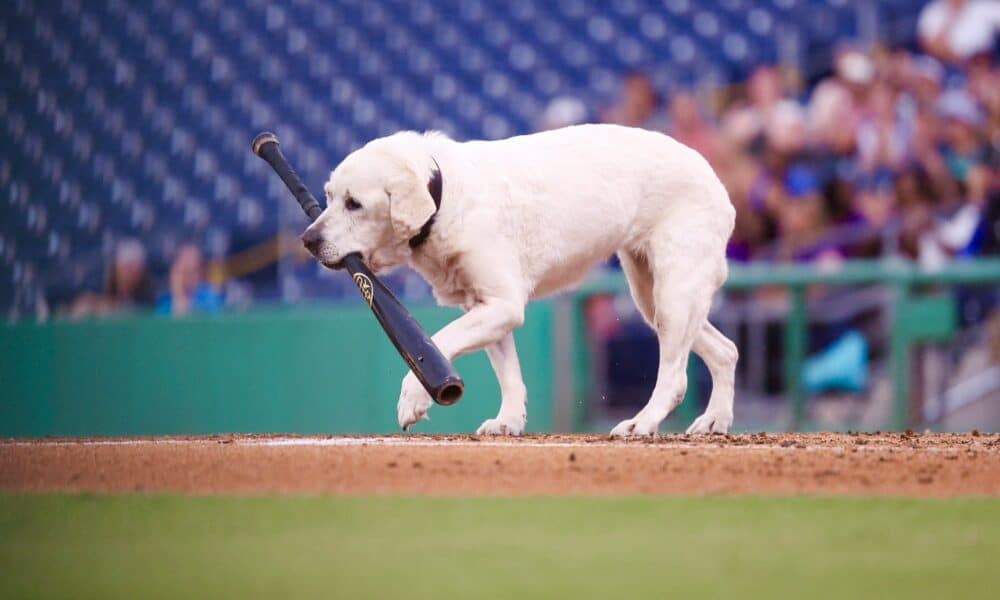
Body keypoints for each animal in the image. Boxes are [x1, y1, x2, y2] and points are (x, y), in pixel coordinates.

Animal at [300, 125, 740, 436]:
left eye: (354, 203)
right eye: (329, 196)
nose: (307, 240)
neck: (446, 197)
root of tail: (712, 174)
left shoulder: (502, 305)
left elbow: (437, 344)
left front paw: (413, 398)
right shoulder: (485, 305)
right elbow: (509, 375)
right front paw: (508, 422)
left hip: (674, 290)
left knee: (676, 377)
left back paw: (643, 423)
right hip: (653, 297)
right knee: (726, 351)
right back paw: (714, 420)